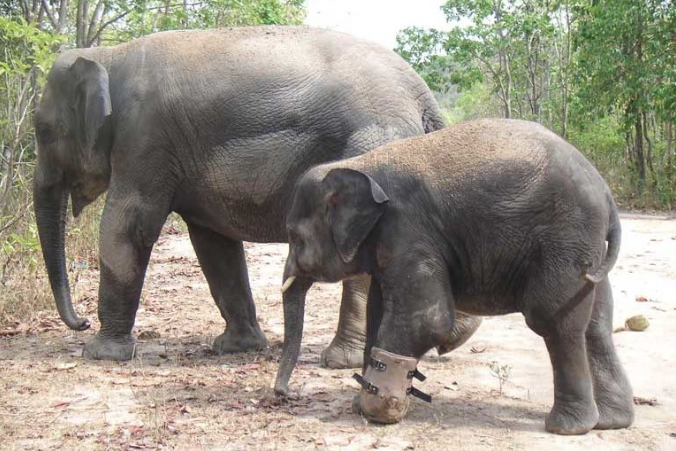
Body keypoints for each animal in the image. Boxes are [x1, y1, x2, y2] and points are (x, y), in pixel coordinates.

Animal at [31, 24, 480, 366]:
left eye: (43, 131)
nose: (80, 322)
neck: (109, 56)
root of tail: (421, 93)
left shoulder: (144, 138)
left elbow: (128, 225)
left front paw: (100, 353)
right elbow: (213, 242)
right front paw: (236, 348)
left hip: (373, 144)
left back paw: (341, 360)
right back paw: (453, 338)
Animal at [274, 118, 632, 436]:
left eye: (294, 236)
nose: (281, 395)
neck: (360, 165)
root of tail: (607, 196)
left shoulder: (409, 230)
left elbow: (427, 320)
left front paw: (377, 412)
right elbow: (379, 311)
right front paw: (360, 405)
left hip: (565, 239)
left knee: (554, 321)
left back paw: (567, 427)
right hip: (587, 249)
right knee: (596, 323)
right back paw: (610, 422)